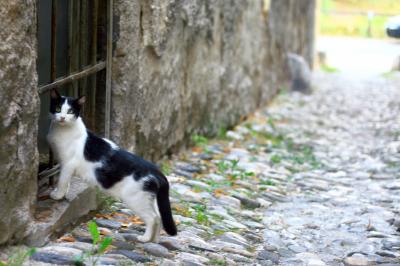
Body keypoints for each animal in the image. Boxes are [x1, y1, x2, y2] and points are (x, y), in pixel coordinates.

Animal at [47, 88, 177, 242]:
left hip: (136, 198)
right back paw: (154, 240)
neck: (63, 131)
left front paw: (57, 195)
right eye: (57, 108)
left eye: (70, 111)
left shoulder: (68, 163)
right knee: (159, 216)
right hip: (149, 198)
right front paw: (61, 193)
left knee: (152, 218)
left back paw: (144, 238)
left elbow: (62, 181)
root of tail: (156, 171)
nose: (62, 118)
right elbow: (66, 182)